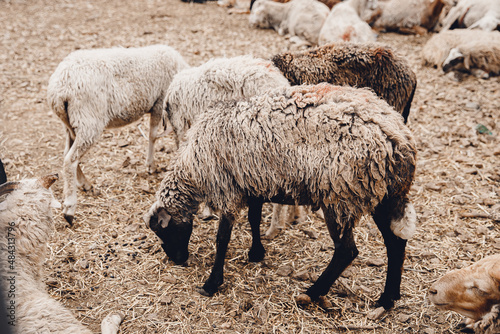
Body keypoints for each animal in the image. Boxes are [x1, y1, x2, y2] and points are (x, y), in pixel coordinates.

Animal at [48, 43, 189, 223]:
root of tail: (59, 88)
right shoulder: (159, 102)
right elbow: (152, 136)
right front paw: (151, 165)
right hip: (88, 121)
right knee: (70, 160)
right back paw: (69, 208)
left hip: (70, 124)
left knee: (68, 154)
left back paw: (85, 184)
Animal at [146, 83, 418, 310]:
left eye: (163, 231)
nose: (177, 260)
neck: (193, 168)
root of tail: (400, 139)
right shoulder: (252, 183)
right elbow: (254, 219)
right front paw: (256, 253)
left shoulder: (228, 189)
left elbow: (222, 239)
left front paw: (211, 283)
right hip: (382, 194)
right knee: (395, 243)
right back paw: (387, 298)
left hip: (340, 195)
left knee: (346, 251)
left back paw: (312, 292)